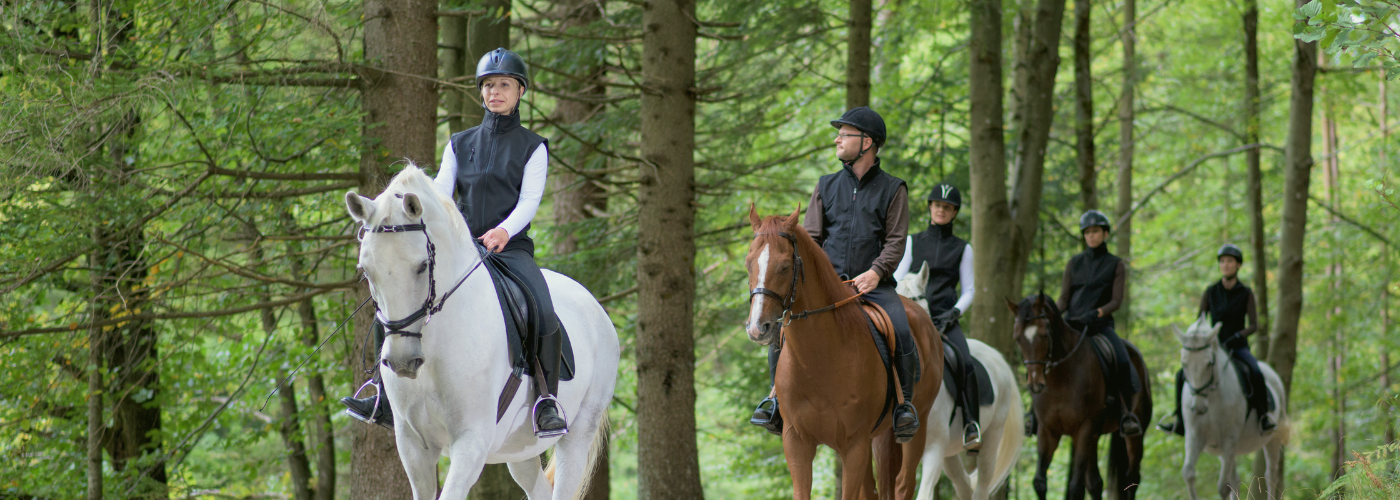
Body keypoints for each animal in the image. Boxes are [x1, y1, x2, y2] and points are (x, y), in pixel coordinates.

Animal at [344, 165, 619, 500]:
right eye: (365, 270)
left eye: (422, 266)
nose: (402, 362)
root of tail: (595, 307)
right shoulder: (413, 446)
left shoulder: (471, 440)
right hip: (520, 449)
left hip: (577, 436)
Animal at [744, 205, 943, 500]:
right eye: (748, 263)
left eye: (785, 266)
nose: (758, 328)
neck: (818, 360)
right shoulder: (796, 441)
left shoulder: (854, 445)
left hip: (917, 428)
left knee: (904, 484)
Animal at [895, 265, 1024, 500]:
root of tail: (997, 357)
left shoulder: (933, 449)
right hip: (950, 453)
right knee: (964, 486)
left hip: (989, 442)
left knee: (981, 487)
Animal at [1007, 294, 1150, 500]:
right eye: (1017, 338)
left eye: (1044, 335)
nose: (1035, 384)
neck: (1061, 379)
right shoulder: (1047, 431)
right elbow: (1040, 482)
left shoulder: (1084, 429)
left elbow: (1075, 487)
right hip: (1095, 436)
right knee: (1095, 483)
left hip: (1134, 434)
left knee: (1132, 478)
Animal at [1174, 314, 1289, 500]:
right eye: (1184, 364)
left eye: (1209, 363)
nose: (1198, 408)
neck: (1212, 398)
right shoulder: (1195, 437)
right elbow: (1188, 473)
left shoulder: (1229, 438)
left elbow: (1222, 487)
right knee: (1235, 479)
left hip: (1272, 438)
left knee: (1271, 475)